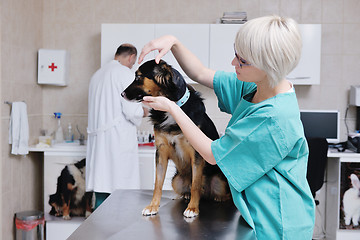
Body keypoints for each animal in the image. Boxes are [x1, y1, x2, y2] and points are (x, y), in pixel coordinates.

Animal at [122, 59, 231, 218]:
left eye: (138, 77)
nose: (121, 94)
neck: (171, 110)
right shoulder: (161, 151)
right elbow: (158, 184)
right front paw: (153, 206)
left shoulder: (197, 154)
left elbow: (196, 184)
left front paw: (192, 208)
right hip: (176, 180)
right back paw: (185, 195)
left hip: (220, 180)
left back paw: (219, 197)